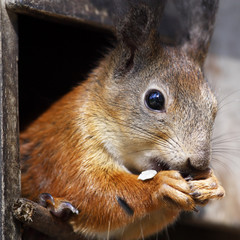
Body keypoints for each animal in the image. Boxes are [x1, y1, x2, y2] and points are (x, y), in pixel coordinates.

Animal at [20, 0, 225, 240]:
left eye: (213, 107)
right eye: (154, 99)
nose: (199, 163)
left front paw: (212, 184)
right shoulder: (67, 149)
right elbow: (94, 190)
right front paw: (160, 185)